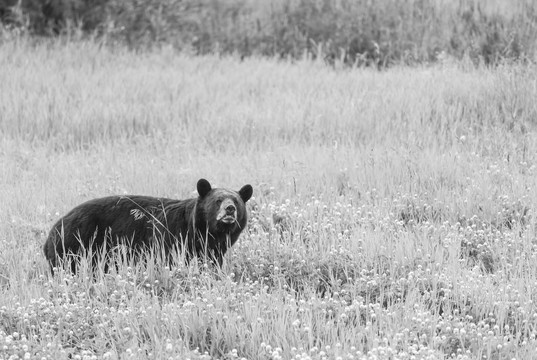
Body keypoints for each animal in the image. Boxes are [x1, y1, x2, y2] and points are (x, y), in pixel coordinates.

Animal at [43, 179, 252, 274]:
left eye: (236, 200)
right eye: (218, 200)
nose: (230, 209)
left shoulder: (213, 250)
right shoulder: (171, 236)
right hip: (74, 244)